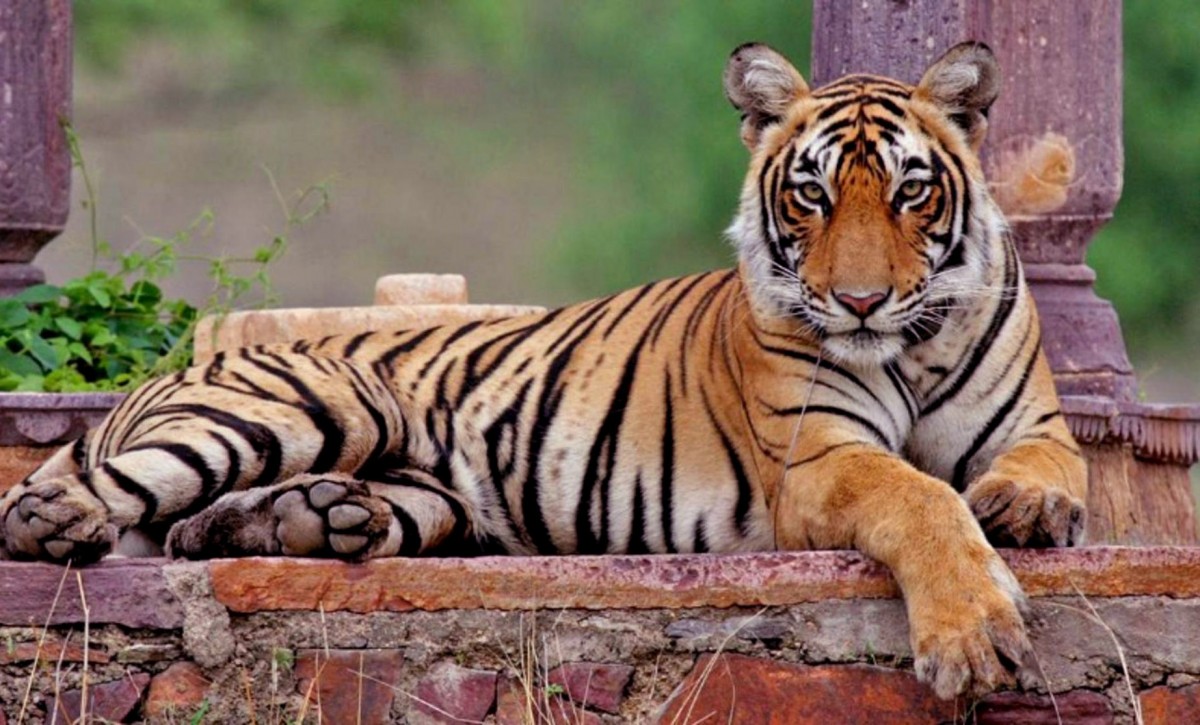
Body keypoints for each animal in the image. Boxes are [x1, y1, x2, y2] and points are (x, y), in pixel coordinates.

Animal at [0, 42, 1086, 699]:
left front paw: (1028, 511)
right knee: (83, 498)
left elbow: (1047, 470)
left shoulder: (1032, 426)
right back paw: (63, 522)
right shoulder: (819, 459)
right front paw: (975, 636)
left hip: (424, 495)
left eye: (910, 191)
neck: (916, 340)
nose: (859, 301)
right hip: (303, 406)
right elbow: (921, 500)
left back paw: (309, 520)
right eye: (812, 194)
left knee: (203, 526)